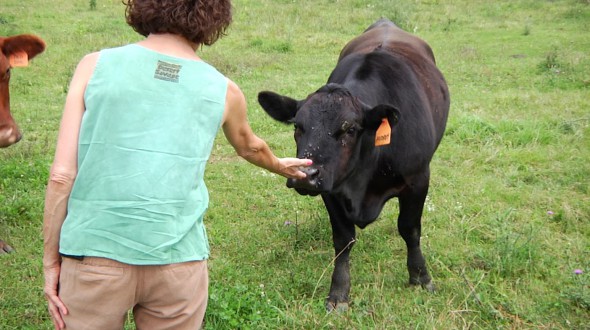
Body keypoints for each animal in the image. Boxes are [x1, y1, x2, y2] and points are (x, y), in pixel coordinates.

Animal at [260, 18, 454, 312]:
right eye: (297, 126)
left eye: (349, 129)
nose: (305, 174)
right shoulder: (331, 187)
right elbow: (343, 239)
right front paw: (339, 292)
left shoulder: (418, 178)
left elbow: (410, 229)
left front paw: (420, 277)